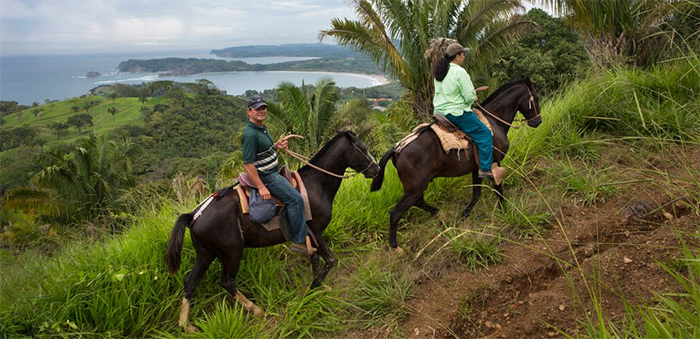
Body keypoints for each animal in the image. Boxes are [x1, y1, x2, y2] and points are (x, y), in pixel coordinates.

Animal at [167, 131, 380, 334]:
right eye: (361, 148)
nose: (376, 169)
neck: (316, 183)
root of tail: (194, 216)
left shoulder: (309, 235)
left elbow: (314, 258)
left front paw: (318, 285)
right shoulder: (316, 231)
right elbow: (329, 260)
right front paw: (315, 285)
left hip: (206, 254)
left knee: (190, 283)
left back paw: (186, 325)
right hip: (232, 252)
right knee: (227, 282)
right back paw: (255, 309)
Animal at [372, 79, 540, 250]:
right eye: (536, 98)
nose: (538, 121)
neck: (493, 121)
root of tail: (396, 149)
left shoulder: (477, 169)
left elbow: (476, 194)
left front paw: (465, 214)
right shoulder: (495, 163)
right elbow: (498, 189)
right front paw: (504, 211)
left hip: (416, 187)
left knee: (419, 202)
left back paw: (441, 214)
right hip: (415, 187)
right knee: (396, 213)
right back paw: (395, 246)